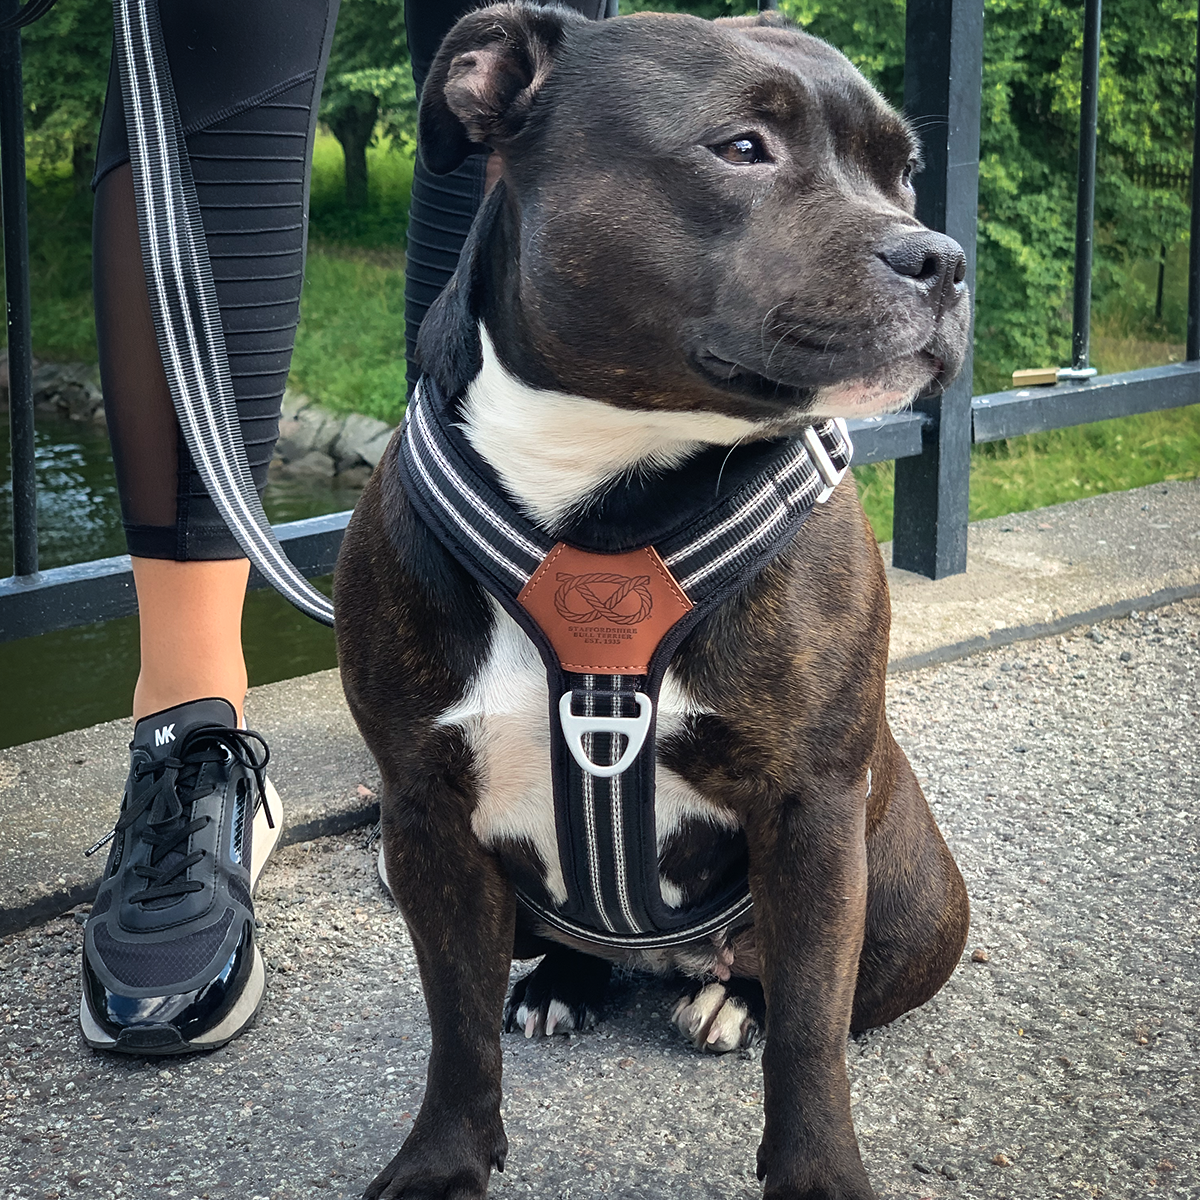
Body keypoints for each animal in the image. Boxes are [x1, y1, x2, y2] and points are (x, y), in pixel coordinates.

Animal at [333, 4, 969, 1195]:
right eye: (741, 148)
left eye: (904, 172)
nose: (942, 255)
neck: (606, 494)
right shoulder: (427, 817)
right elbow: (456, 1026)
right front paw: (443, 1158)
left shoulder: (814, 813)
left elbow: (814, 1037)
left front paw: (818, 1172)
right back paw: (560, 985)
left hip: (906, 890)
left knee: (811, 988)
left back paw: (729, 998)